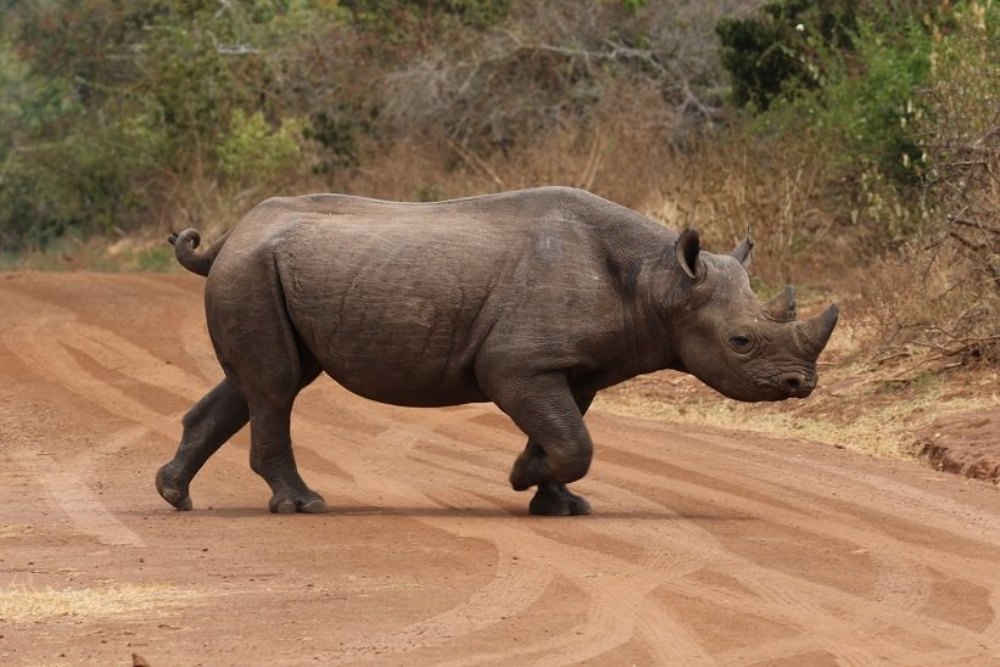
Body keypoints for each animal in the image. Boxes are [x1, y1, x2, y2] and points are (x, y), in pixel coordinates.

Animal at [156, 186, 838, 516]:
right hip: (252, 268)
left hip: (260, 268)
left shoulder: (570, 365)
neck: (659, 280)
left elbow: (566, 433)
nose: (801, 384)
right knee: (275, 385)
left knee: (263, 381)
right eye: (741, 342)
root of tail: (230, 236)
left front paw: (559, 505)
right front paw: (519, 478)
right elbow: (573, 442)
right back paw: (303, 506)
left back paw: (174, 496)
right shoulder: (516, 361)